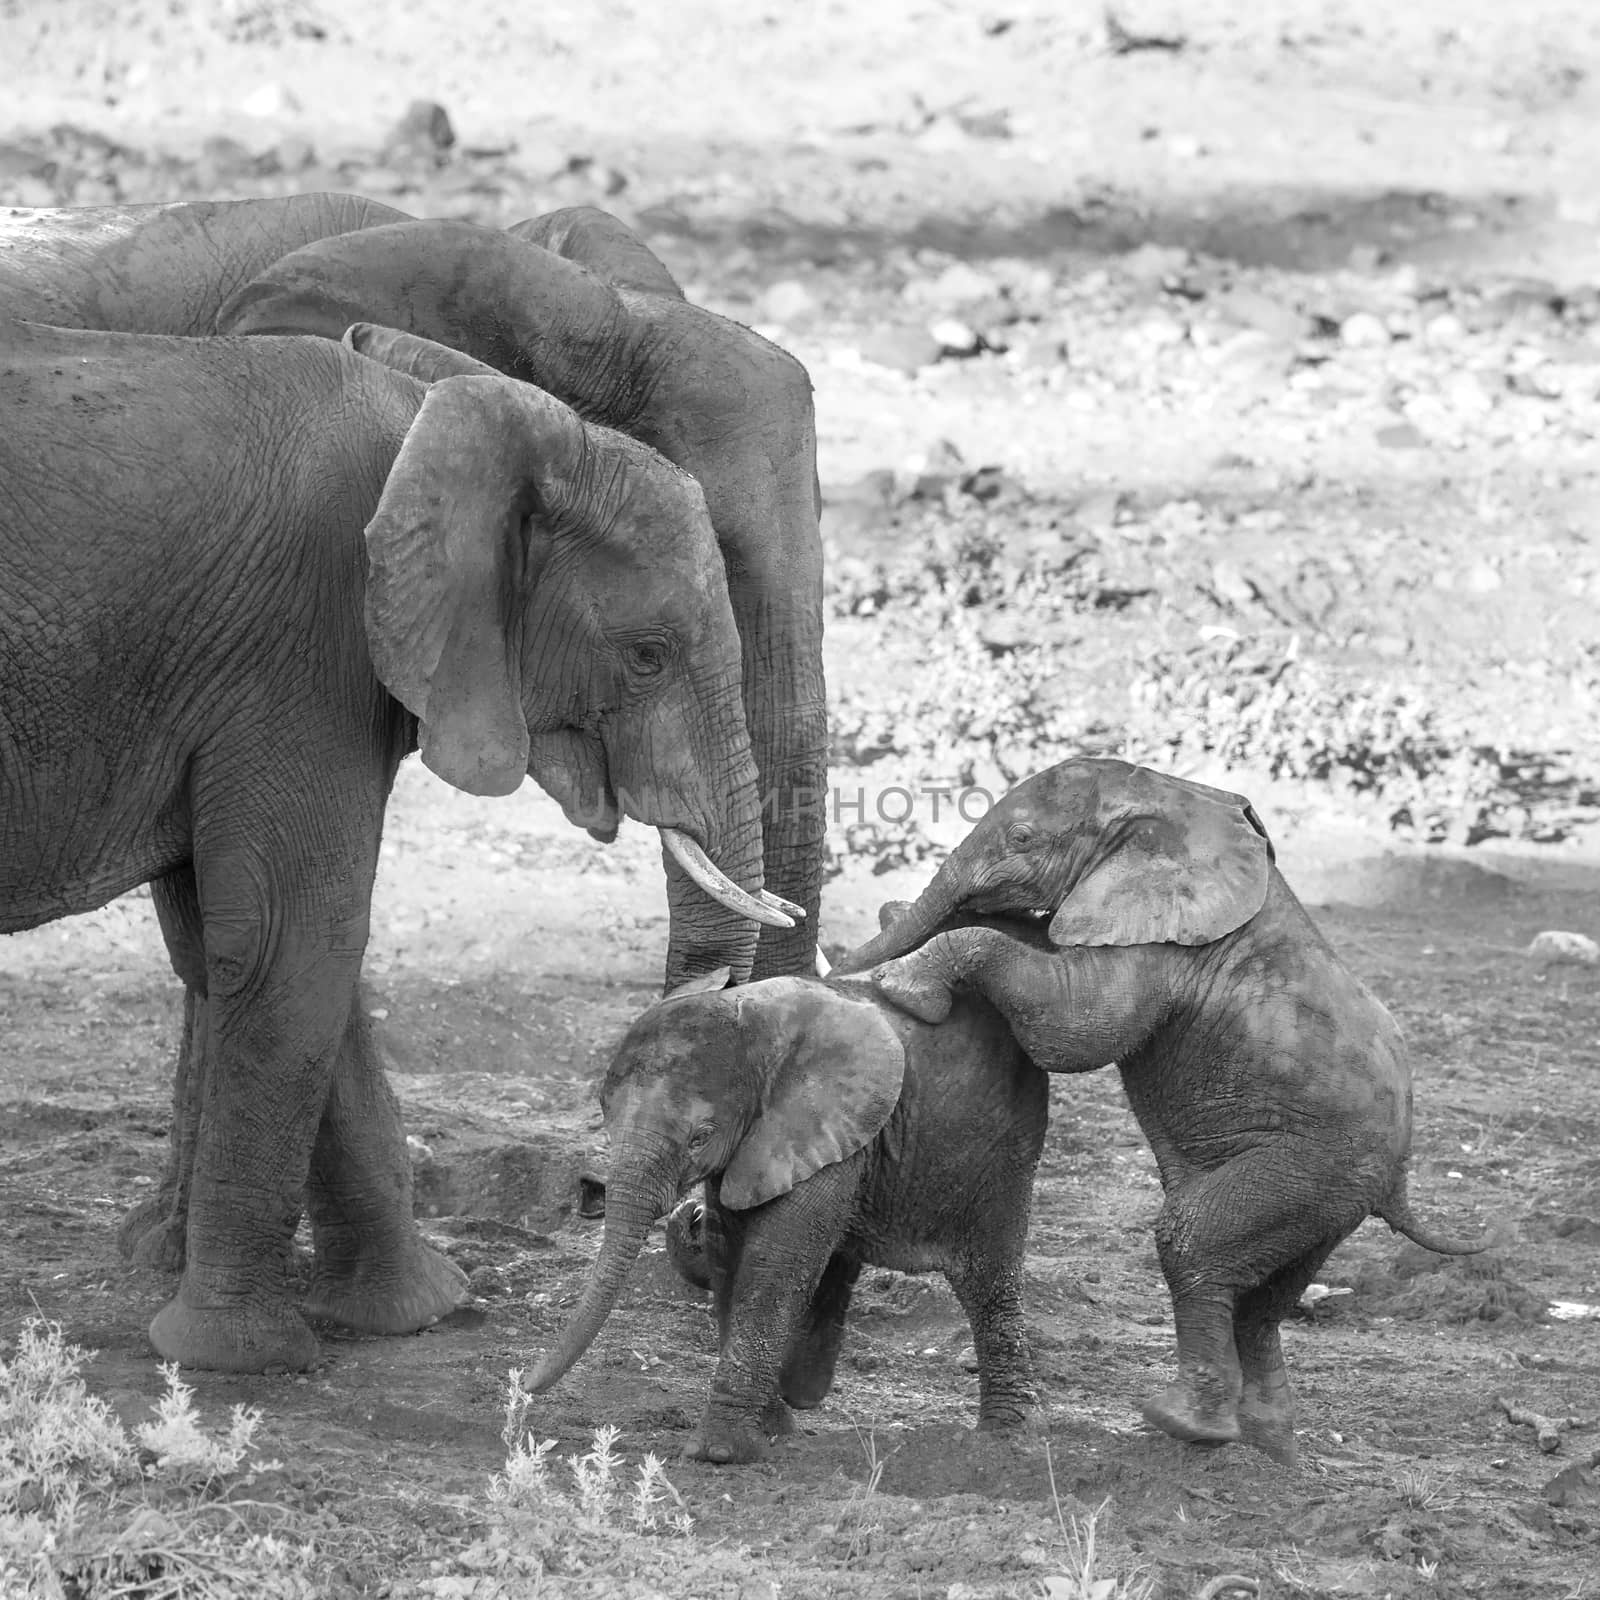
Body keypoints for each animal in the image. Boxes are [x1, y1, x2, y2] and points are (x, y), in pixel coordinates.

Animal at [0, 324, 787, 1376]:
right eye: (648, 654)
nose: (699, 1236)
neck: (436, 413)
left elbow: (241, 945)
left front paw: (417, 1312)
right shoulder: (301, 643)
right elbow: (297, 940)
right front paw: (238, 1360)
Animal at [524, 915, 1049, 1465]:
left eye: (700, 1136)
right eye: (604, 1112)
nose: (524, 1388)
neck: (757, 1023)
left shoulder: (827, 1129)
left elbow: (775, 1259)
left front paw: (720, 1453)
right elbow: (729, 1253)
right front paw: (773, 1429)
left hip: (1001, 1152)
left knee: (988, 1282)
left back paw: (1007, 1435)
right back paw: (807, 1389)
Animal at [844, 755, 1478, 1465]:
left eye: (1022, 840)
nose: (847, 962)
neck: (1171, 796)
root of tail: (1398, 1179)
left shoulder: (1163, 943)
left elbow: (1077, 1028)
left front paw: (903, 989)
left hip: (1319, 1163)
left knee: (1194, 1237)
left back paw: (1182, 1424)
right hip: (1337, 1195)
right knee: (1266, 1294)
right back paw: (1267, 1447)